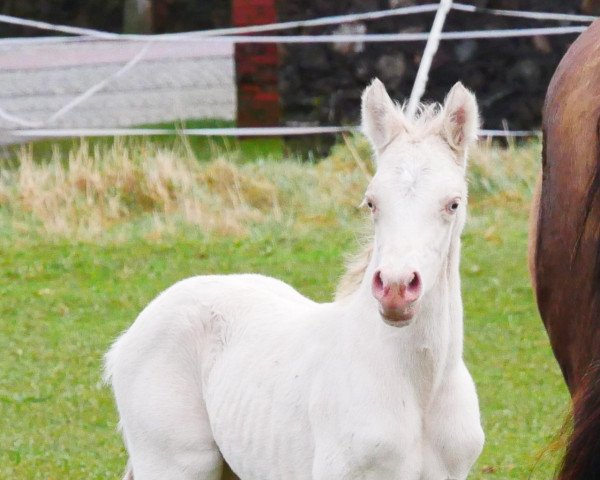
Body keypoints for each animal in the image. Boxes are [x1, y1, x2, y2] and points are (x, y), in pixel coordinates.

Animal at [105, 79, 486, 480]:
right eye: (371, 202)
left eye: (454, 203)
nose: (396, 290)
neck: (419, 389)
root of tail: (127, 340)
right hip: (172, 464)